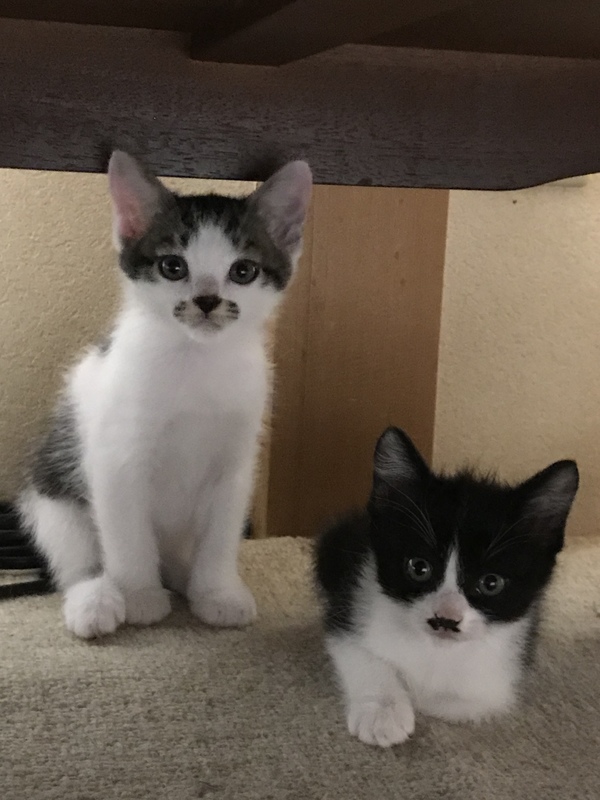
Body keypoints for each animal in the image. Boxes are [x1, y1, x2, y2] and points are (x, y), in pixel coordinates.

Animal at [19, 151, 312, 639]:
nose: (207, 300)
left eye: (243, 271)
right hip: (53, 500)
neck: (196, 362)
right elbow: (128, 536)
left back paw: (183, 576)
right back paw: (96, 599)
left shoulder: (235, 463)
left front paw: (217, 593)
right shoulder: (116, 458)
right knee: (75, 558)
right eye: (173, 267)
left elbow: (221, 534)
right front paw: (139, 596)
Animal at [315, 426, 578, 747]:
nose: (445, 619)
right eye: (418, 568)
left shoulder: (499, 679)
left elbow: (456, 699)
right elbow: (360, 652)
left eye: (491, 583)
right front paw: (383, 711)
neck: (436, 650)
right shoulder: (351, 602)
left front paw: (414, 696)